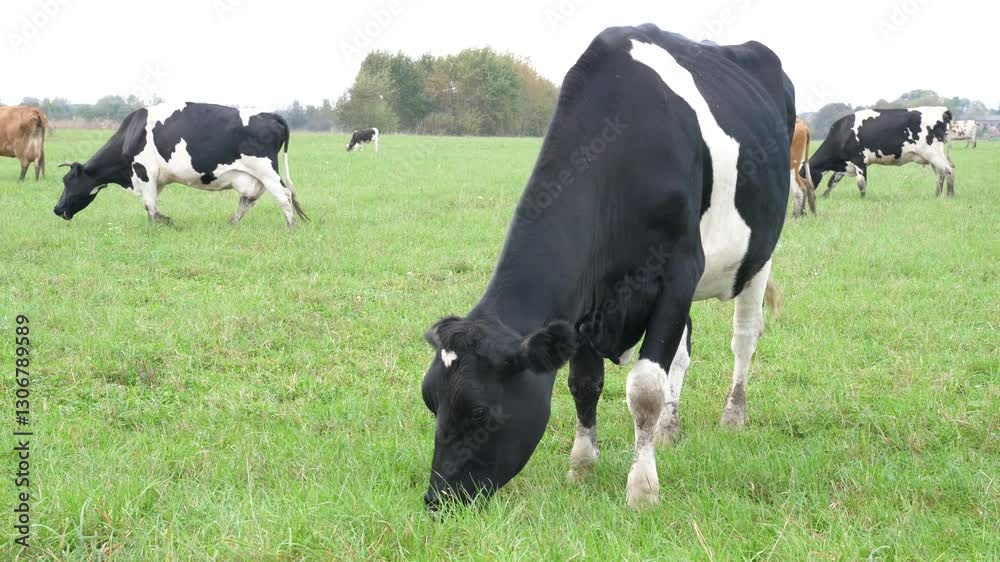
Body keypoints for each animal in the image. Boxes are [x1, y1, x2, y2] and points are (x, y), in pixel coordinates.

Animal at [54, 102, 308, 226]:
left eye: (68, 181)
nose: (56, 209)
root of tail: (270, 115)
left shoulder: (144, 172)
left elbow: (150, 206)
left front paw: (166, 222)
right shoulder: (157, 180)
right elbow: (152, 206)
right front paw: (156, 224)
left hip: (265, 170)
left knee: (284, 196)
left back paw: (291, 227)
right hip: (253, 176)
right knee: (248, 199)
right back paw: (231, 223)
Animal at [420, 24, 794, 510]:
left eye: (481, 413)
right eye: (430, 401)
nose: (436, 497)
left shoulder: (677, 273)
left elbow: (645, 389)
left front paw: (642, 488)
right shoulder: (587, 303)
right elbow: (585, 382)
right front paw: (582, 465)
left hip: (759, 254)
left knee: (744, 337)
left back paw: (734, 414)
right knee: (683, 352)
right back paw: (670, 429)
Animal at [808, 107, 954, 198]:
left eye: (804, 175)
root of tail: (941, 110)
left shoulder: (859, 161)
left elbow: (861, 183)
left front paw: (862, 199)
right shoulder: (845, 164)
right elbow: (832, 181)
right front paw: (825, 196)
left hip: (933, 153)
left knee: (949, 169)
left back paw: (950, 195)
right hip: (933, 156)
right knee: (940, 174)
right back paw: (937, 195)